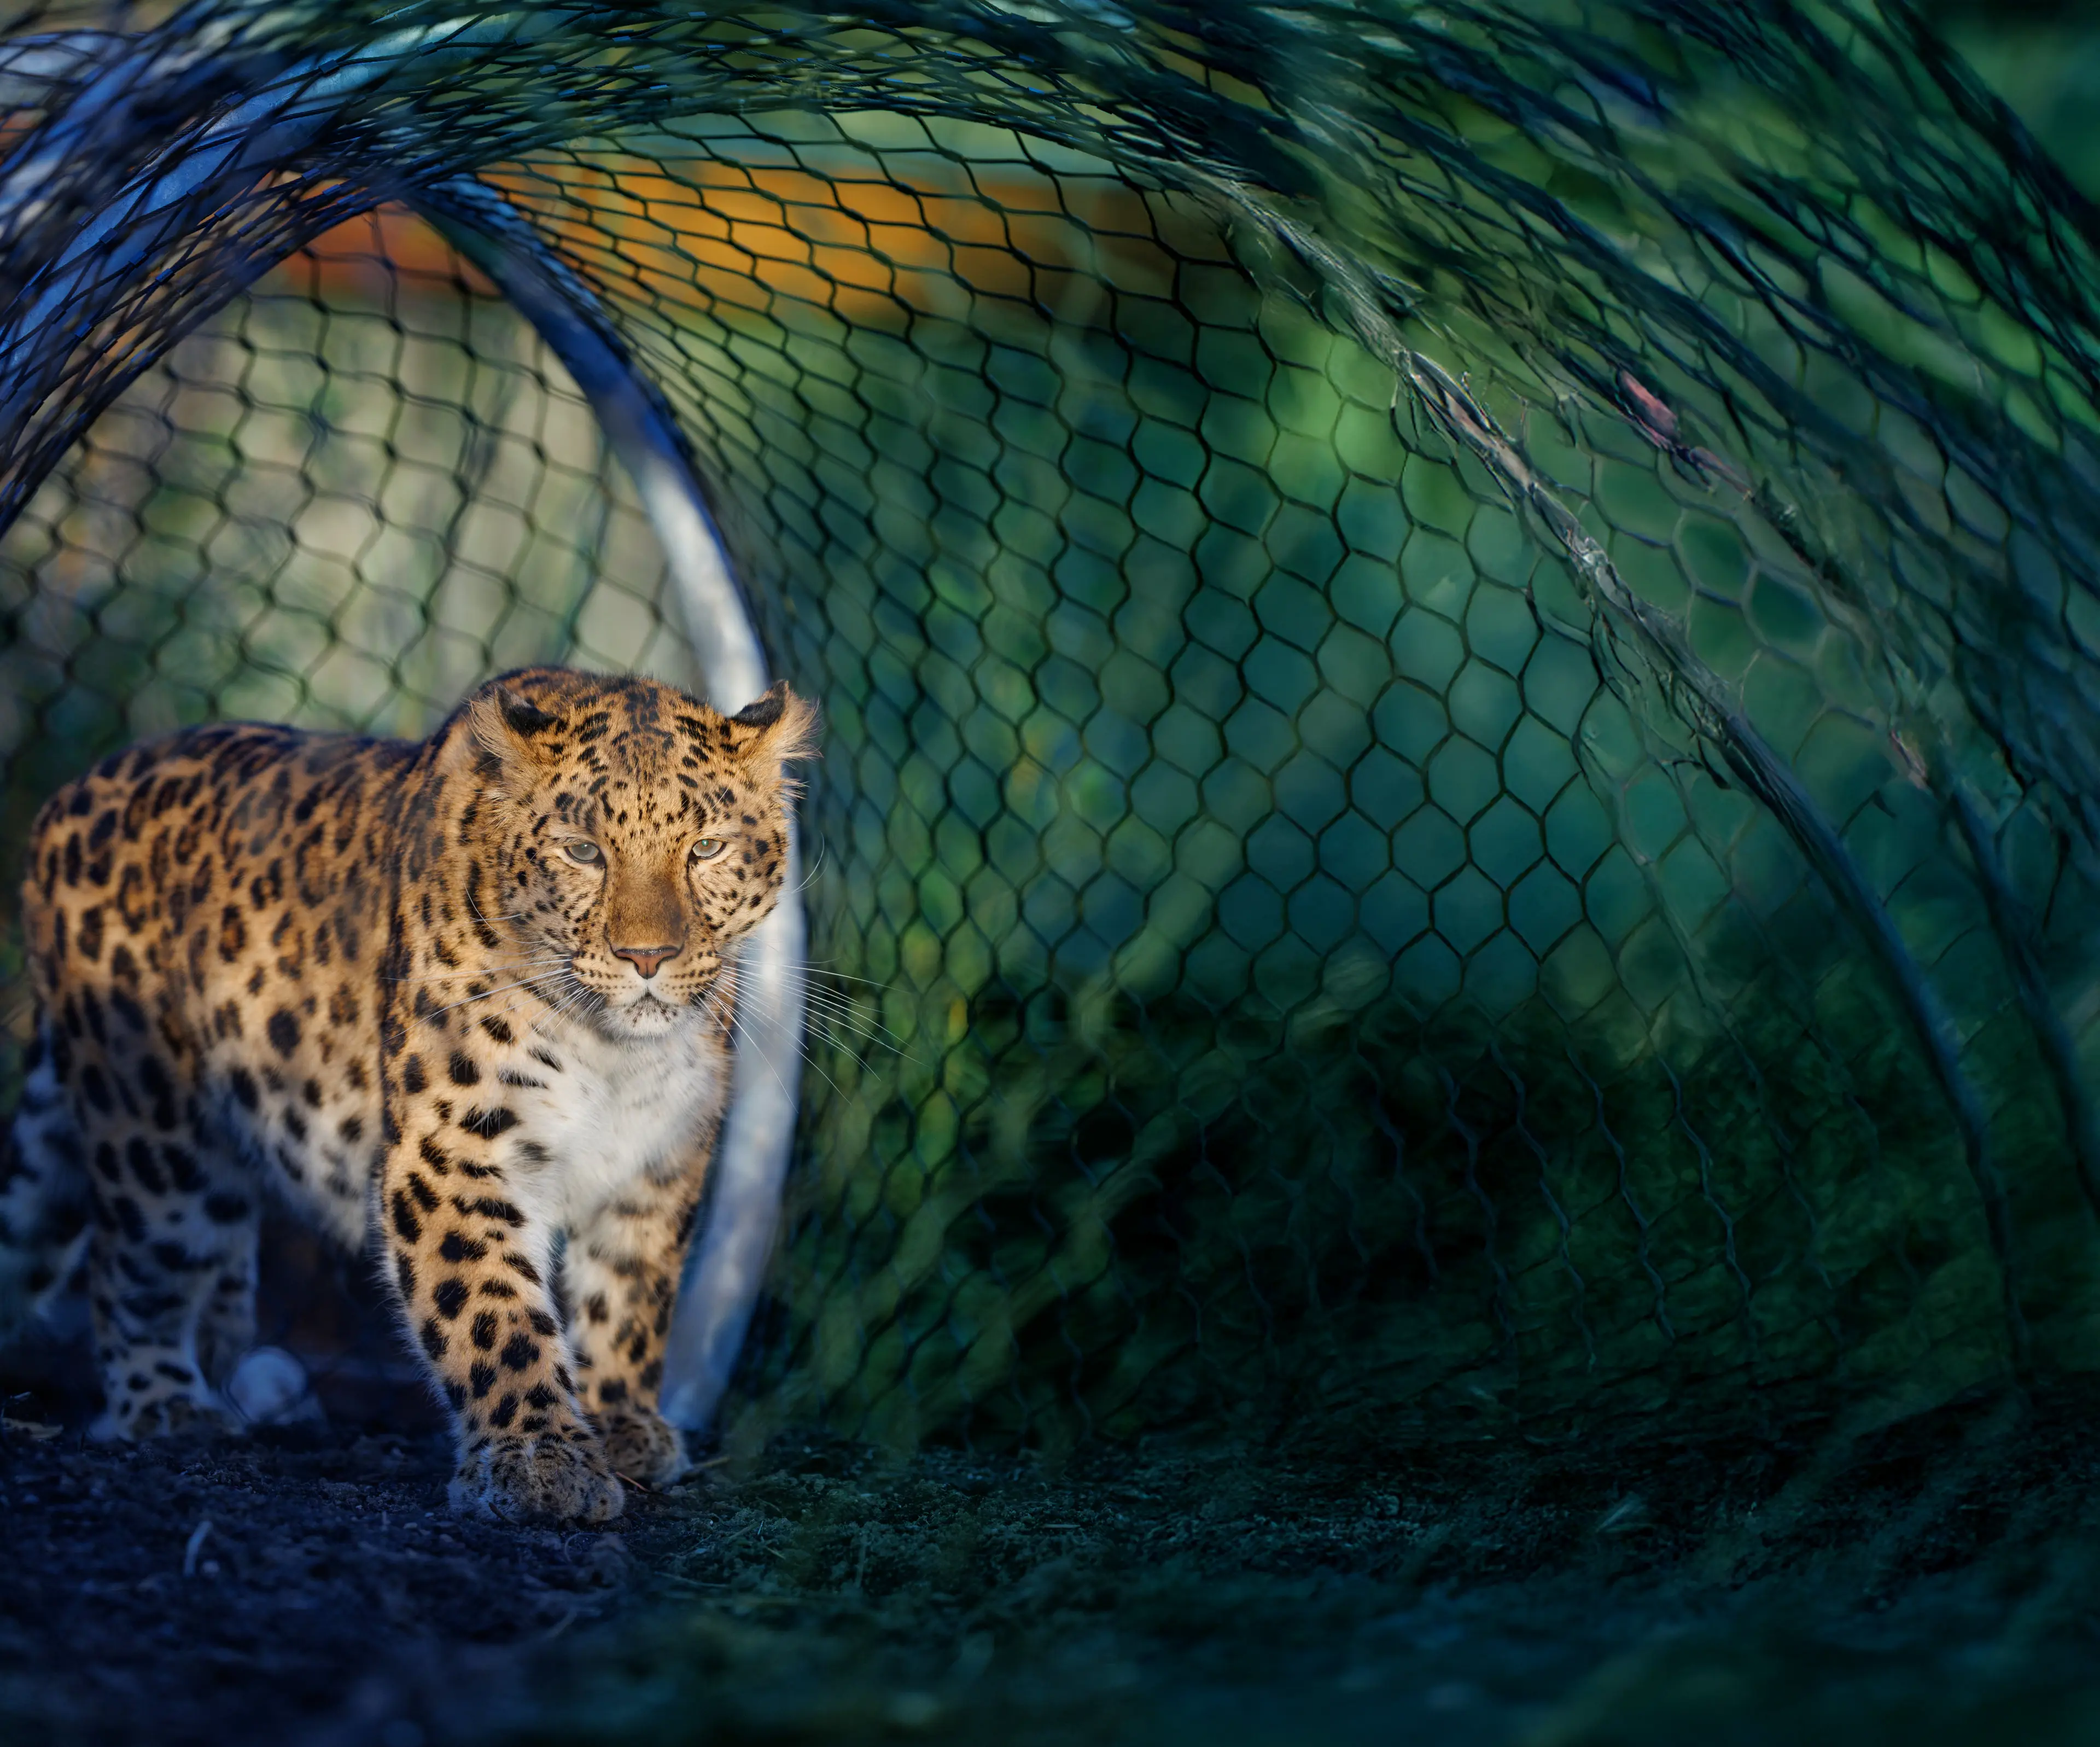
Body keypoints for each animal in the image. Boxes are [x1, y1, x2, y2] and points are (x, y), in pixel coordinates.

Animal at [0, 666, 816, 1523]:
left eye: (707, 848)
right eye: (583, 851)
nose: (648, 956)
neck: (612, 1049)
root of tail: (73, 789)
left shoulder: (658, 1159)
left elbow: (629, 1299)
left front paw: (620, 1421)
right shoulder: (453, 1147)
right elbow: (494, 1308)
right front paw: (540, 1458)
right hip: (151, 1125)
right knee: (135, 1262)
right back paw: (167, 1405)